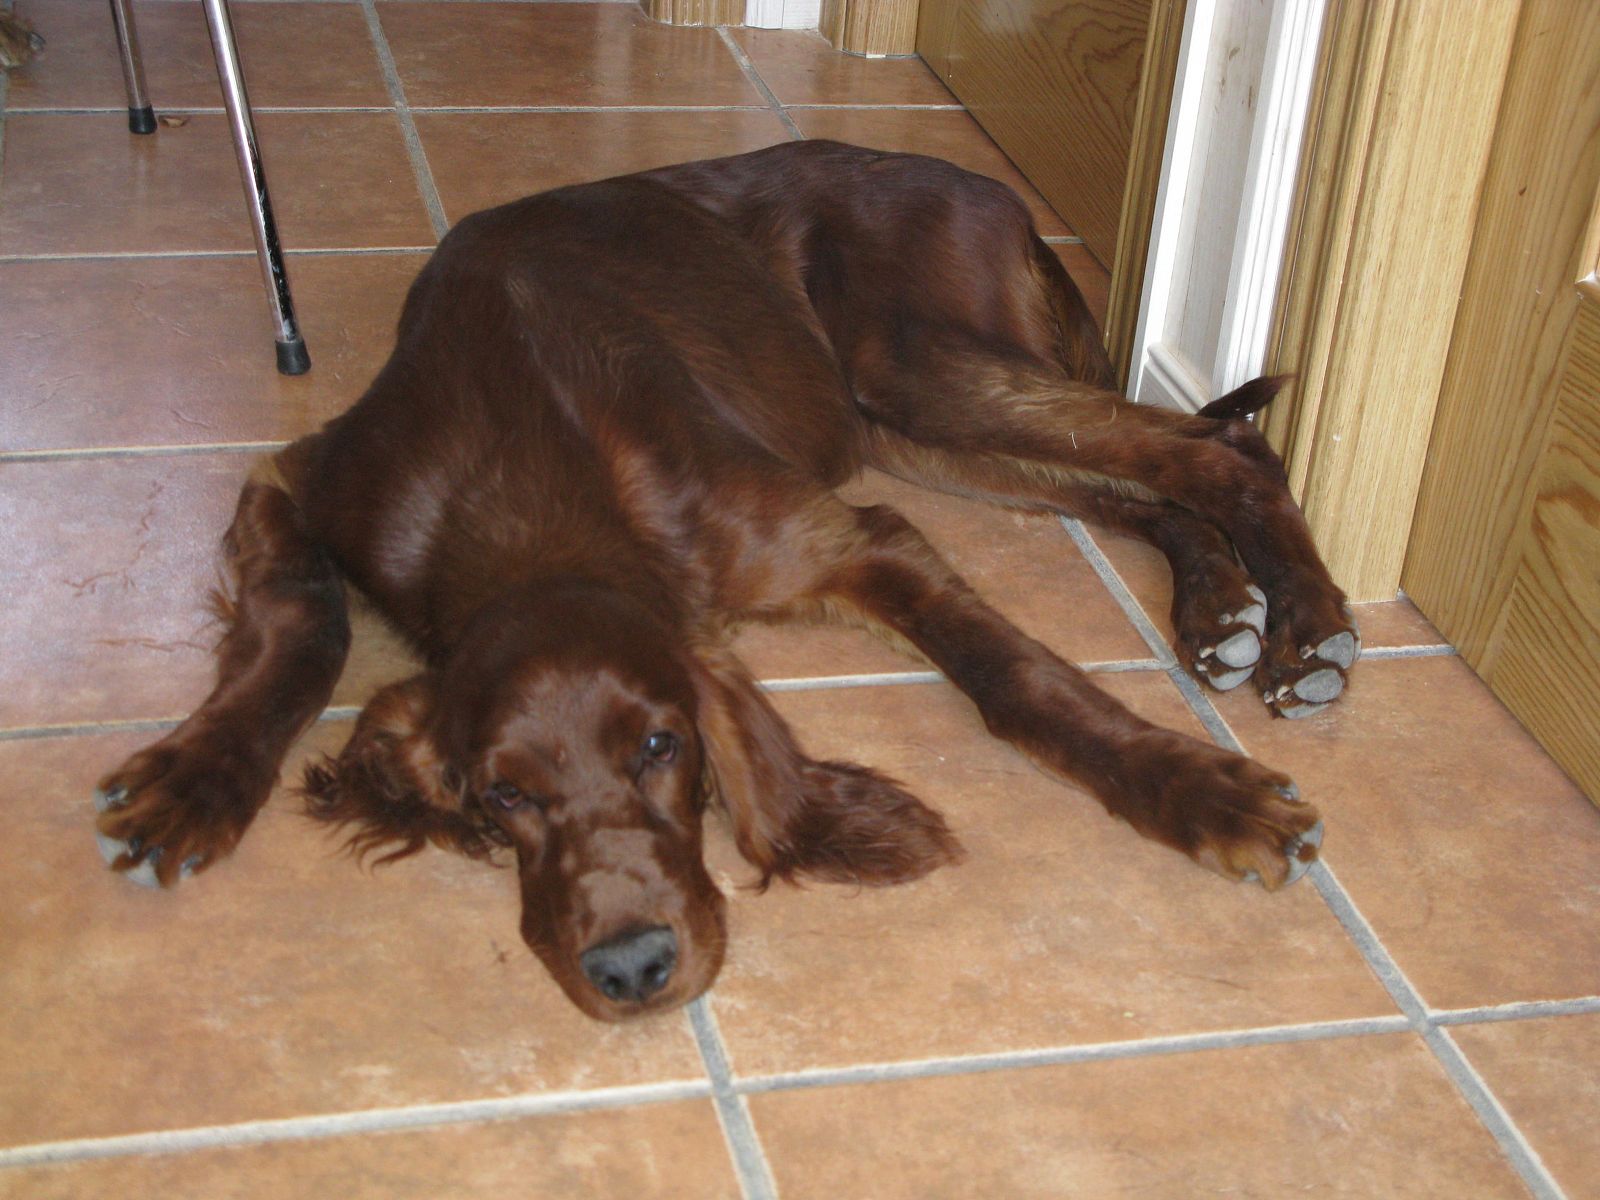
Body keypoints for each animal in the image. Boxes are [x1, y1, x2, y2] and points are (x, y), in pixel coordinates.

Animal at [93, 140, 1356, 1024]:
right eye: (501, 797)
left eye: (663, 746)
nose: (631, 966)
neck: (520, 494)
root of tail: (987, 186)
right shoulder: (309, 483)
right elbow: (297, 630)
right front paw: (196, 778)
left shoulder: (846, 537)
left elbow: (1019, 681)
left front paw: (1203, 794)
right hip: (916, 427)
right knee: (1146, 489)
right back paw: (1219, 610)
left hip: (925, 371)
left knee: (1218, 447)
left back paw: (1304, 626)